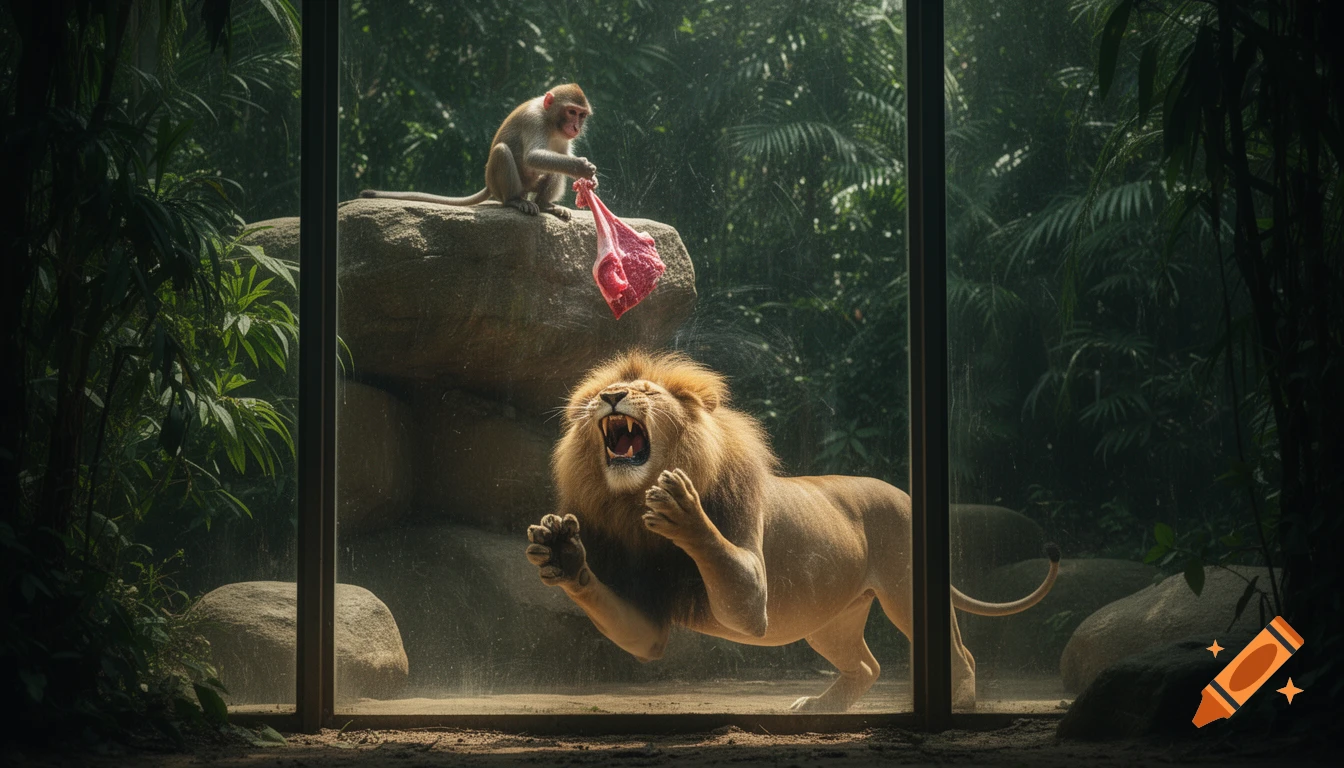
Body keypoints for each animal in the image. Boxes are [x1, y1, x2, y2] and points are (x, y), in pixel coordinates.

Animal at [360, 84, 597, 221]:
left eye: (581, 115)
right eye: (571, 112)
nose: (575, 127)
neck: (551, 121)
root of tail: (489, 185)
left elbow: (559, 158)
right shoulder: (534, 120)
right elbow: (534, 156)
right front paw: (581, 166)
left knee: (553, 167)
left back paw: (545, 205)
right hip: (502, 184)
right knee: (502, 152)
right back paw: (515, 201)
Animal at [524, 349, 1059, 711]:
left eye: (648, 392)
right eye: (600, 395)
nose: (611, 396)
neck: (632, 503)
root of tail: (907, 496)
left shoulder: (750, 595)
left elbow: (717, 548)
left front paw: (682, 508)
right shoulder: (647, 619)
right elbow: (636, 631)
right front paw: (562, 551)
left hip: (907, 590)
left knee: (958, 649)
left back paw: (962, 700)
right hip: (827, 621)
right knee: (867, 666)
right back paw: (821, 709)